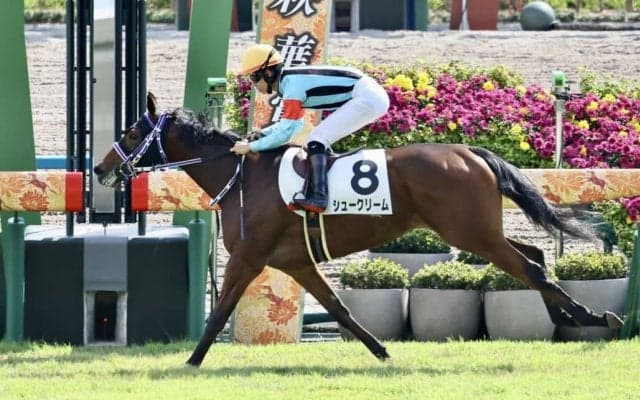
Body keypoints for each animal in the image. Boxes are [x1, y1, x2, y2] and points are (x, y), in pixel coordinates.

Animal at [93, 93, 624, 367]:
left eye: (131, 132)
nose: (101, 168)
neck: (243, 177)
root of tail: (469, 152)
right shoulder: (295, 261)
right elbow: (339, 309)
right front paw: (382, 351)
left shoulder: (248, 257)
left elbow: (219, 312)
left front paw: (190, 361)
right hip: (477, 231)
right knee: (535, 258)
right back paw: (571, 317)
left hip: (471, 234)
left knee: (533, 270)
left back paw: (594, 317)